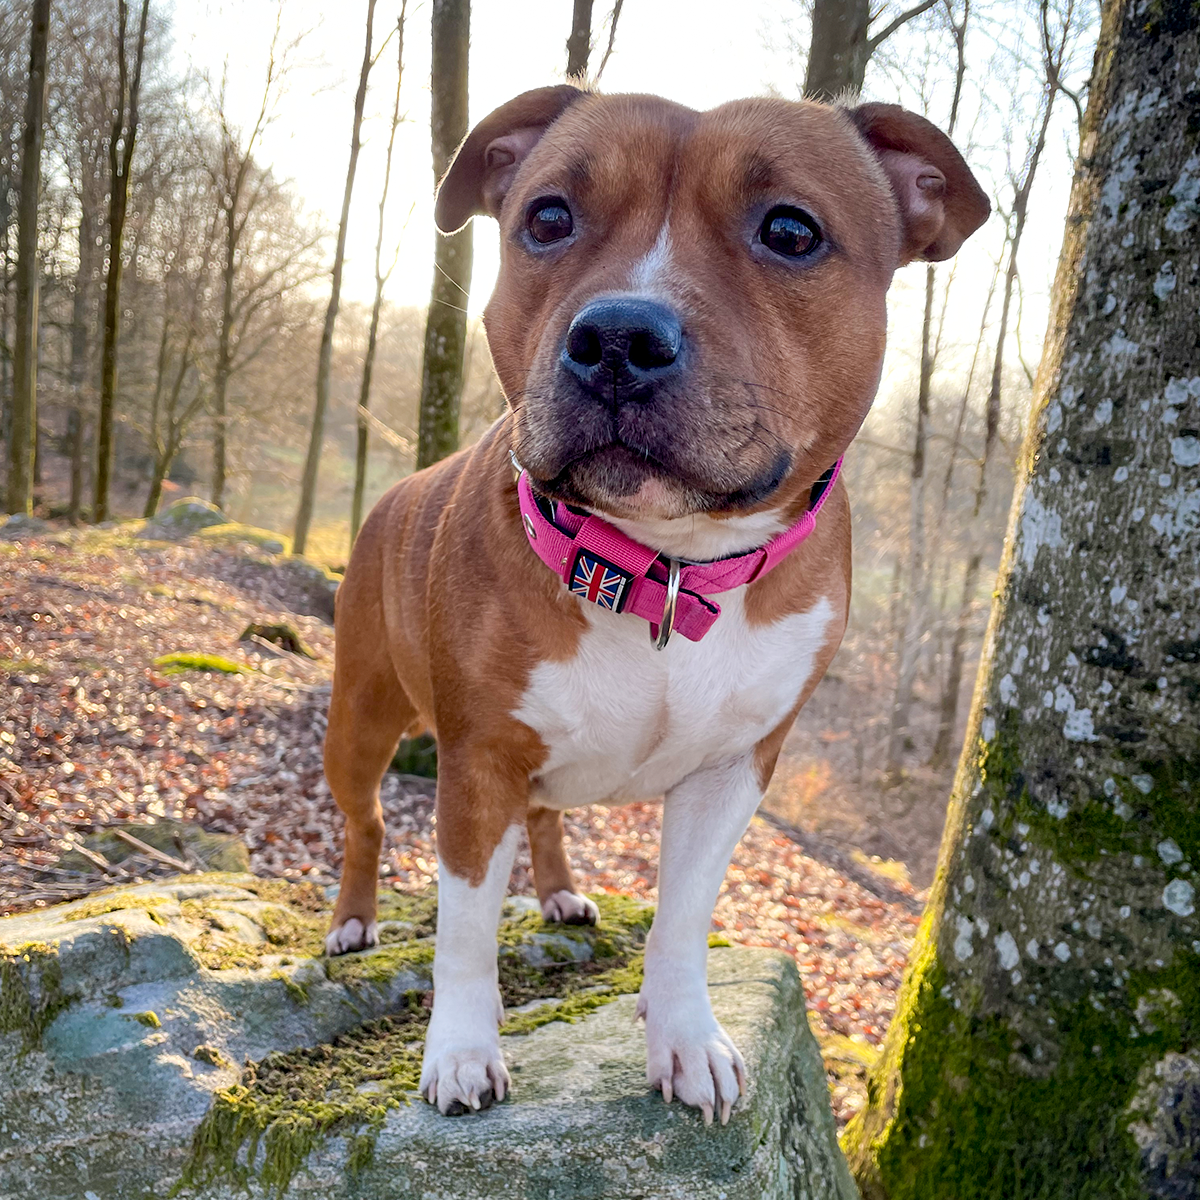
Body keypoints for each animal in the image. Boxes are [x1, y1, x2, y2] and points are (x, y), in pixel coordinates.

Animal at [321, 87, 984, 1123]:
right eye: (549, 217)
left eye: (791, 230)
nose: (618, 340)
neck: (662, 567)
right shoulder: (477, 765)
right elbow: (463, 930)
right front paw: (462, 1050)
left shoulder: (735, 768)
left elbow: (683, 919)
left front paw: (686, 1040)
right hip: (359, 716)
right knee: (368, 823)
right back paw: (353, 921)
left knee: (546, 818)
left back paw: (559, 894)